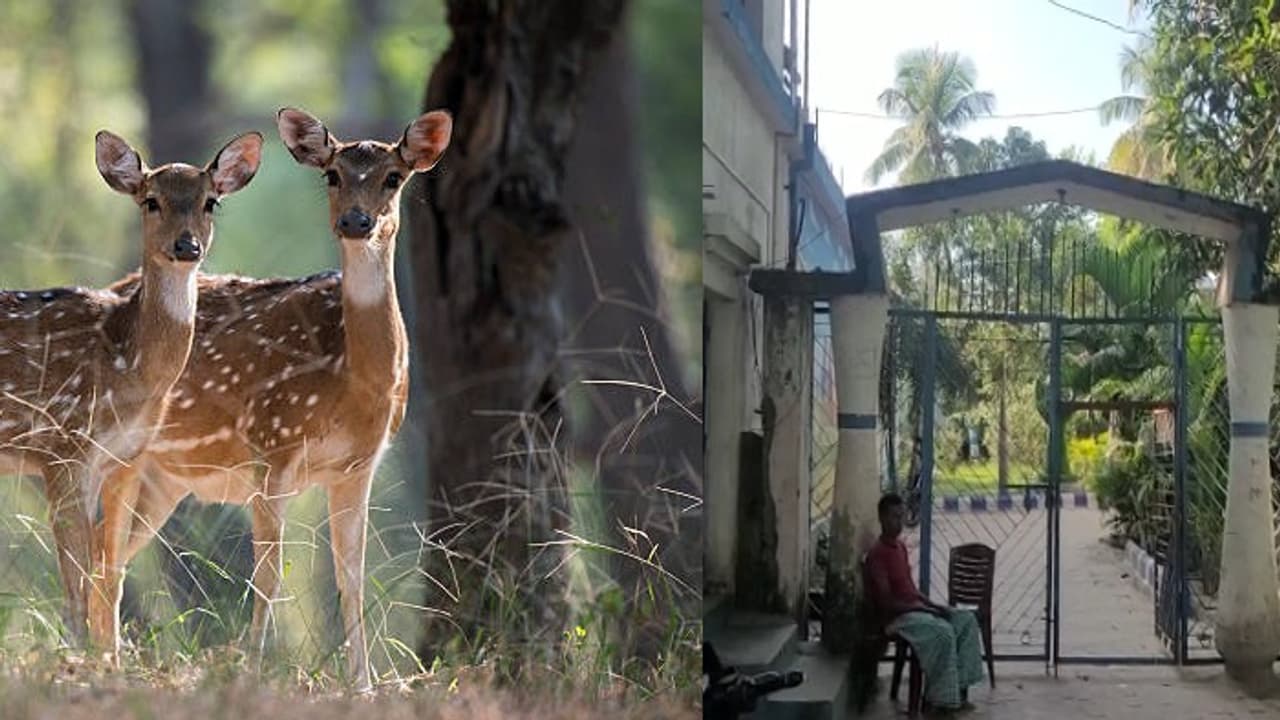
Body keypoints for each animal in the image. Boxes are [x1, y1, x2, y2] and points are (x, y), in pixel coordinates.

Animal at [0, 129, 262, 647]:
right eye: (151, 200)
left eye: (210, 201)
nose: (187, 245)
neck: (129, 368)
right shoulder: (62, 445)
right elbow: (77, 579)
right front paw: (80, 653)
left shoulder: (122, 458)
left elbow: (105, 574)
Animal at [91, 107, 452, 692]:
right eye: (332, 174)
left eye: (394, 177)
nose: (356, 222)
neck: (354, 383)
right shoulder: (271, 446)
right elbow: (267, 576)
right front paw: (256, 668)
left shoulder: (358, 466)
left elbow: (352, 575)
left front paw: (365, 684)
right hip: (124, 452)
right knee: (105, 552)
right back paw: (103, 658)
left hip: (166, 478)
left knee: (111, 549)